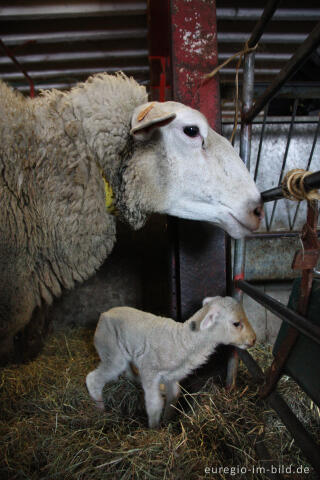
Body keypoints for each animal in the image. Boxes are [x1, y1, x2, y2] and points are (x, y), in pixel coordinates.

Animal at [86, 296, 256, 428]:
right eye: (236, 323)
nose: (253, 339)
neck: (181, 340)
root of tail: (105, 314)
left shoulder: (171, 376)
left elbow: (174, 396)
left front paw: (167, 421)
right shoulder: (150, 370)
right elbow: (154, 404)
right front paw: (154, 429)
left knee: (127, 371)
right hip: (111, 350)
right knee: (93, 379)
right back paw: (100, 409)